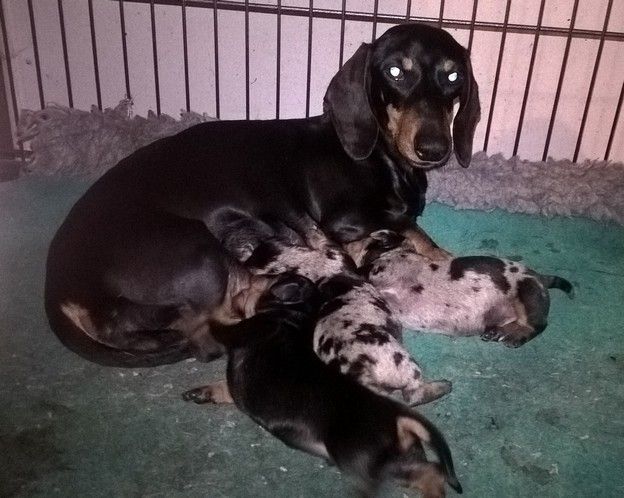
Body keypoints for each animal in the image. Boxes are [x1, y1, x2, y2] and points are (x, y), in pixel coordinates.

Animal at [45, 23, 480, 367]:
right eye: (395, 71)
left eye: (453, 77)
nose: (434, 148)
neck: (381, 156)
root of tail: (59, 284)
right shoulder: (346, 217)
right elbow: (415, 231)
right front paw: (448, 262)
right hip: (199, 254)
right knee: (208, 330)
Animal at [347, 230, 574, 347]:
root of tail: (541, 278)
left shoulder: (382, 268)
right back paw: (498, 332)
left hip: (527, 295)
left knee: (537, 324)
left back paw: (515, 337)